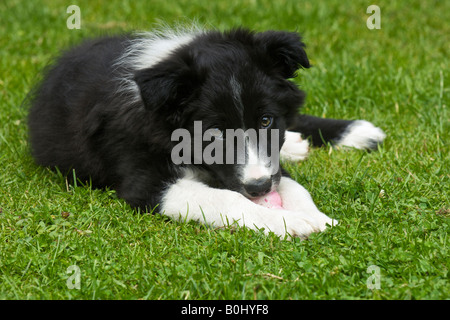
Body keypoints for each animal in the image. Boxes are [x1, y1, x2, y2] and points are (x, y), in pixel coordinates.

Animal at [29, 26, 386, 239]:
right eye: (214, 133)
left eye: (266, 121)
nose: (258, 187)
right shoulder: (145, 182)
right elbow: (226, 199)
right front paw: (292, 223)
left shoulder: (269, 161)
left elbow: (293, 186)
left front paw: (315, 216)